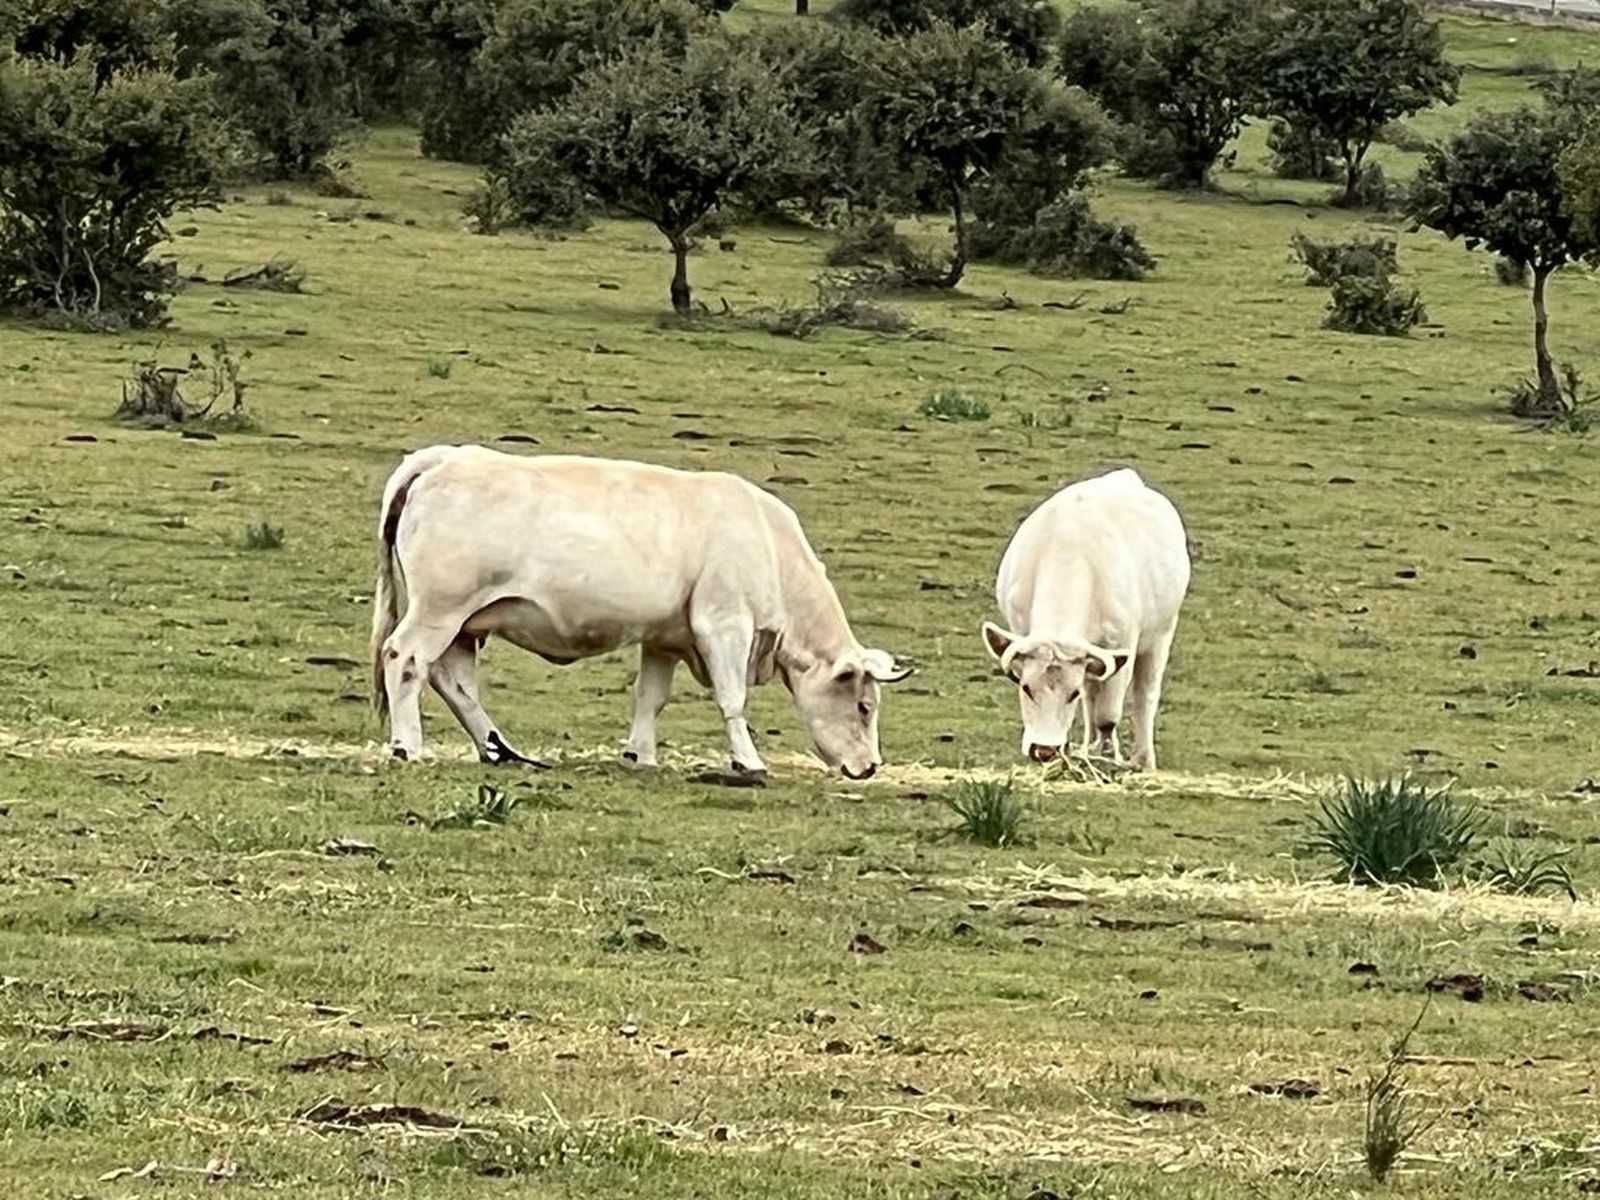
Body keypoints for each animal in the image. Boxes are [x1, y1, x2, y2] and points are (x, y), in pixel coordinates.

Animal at [370, 445, 912, 779]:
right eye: (864, 707)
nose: (870, 766)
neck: (767, 541)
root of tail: (445, 457)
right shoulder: (724, 624)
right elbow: (731, 698)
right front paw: (748, 761)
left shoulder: (664, 638)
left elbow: (651, 697)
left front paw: (641, 754)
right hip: (439, 609)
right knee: (406, 659)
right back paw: (408, 745)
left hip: (464, 623)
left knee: (455, 682)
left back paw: (499, 750)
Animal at [981, 467, 1190, 770]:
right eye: (1026, 688)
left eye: (1072, 694)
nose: (1044, 750)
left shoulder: (1123, 644)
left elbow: (1108, 715)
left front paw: (1107, 756)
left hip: (1161, 633)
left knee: (1145, 696)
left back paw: (1142, 759)